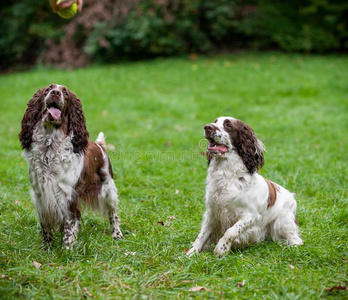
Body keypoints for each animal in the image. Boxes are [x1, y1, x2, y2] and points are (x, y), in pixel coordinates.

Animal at [19, 84, 123, 248]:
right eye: (48, 89)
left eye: (66, 93)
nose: (55, 93)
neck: (49, 149)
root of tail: (99, 145)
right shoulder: (40, 197)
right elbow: (45, 226)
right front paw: (47, 247)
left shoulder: (69, 197)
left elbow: (69, 228)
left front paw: (67, 250)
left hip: (109, 190)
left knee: (113, 214)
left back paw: (117, 234)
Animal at [186, 116, 304, 256]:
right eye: (215, 122)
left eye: (228, 125)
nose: (207, 127)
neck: (227, 176)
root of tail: (292, 196)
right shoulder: (212, 213)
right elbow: (202, 235)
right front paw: (191, 253)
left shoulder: (250, 216)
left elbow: (231, 231)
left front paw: (221, 249)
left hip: (282, 222)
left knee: (296, 240)